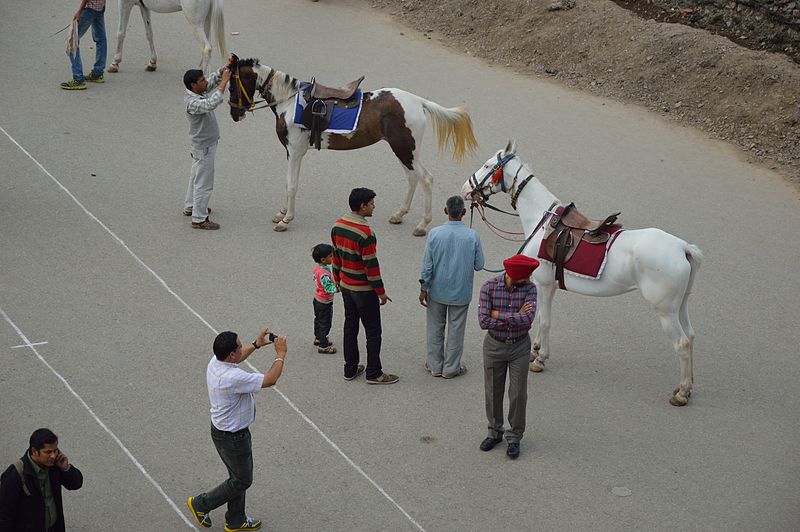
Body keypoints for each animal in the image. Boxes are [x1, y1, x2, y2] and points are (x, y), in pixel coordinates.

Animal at [227, 57, 476, 234]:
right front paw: (282, 213)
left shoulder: (296, 152)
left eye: (231, 86)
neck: (289, 103)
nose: (234, 114)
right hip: (404, 151)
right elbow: (288, 183)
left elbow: (292, 186)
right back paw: (399, 214)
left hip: (405, 149)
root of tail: (417, 101)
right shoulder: (291, 153)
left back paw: (423, 225)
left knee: (425, 179)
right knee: (413, 178)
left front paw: (286, 219)